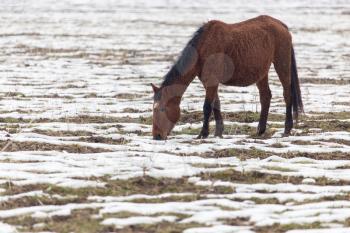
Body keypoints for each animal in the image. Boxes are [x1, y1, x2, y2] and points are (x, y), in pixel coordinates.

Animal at [152, 16, 302, 141]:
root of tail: (281, 25)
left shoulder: (212, 81)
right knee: (265, 96)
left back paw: (287, 129)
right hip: (262, 72)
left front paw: (203, 134)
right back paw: (260, 130)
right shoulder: (208, 82)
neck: (204, 48)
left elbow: (207, 107)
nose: (157, 136)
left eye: (162, 109)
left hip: (281, 64)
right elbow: (216, 104)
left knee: (287, 94)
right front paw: (218, 132)